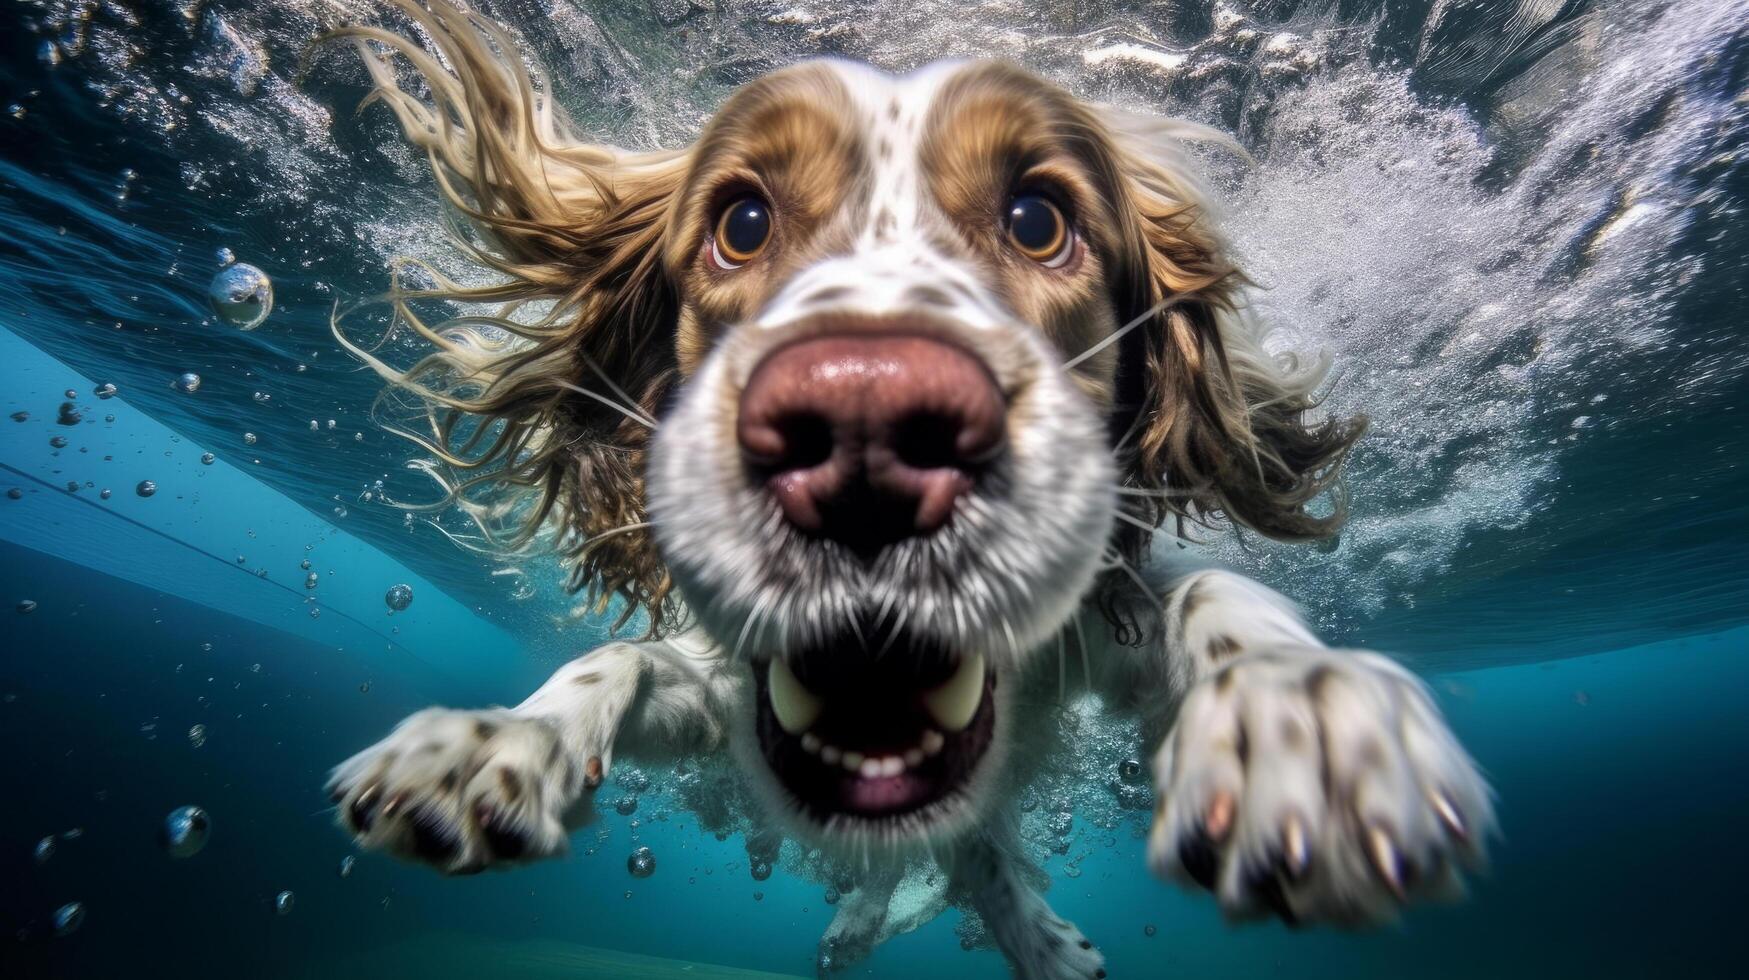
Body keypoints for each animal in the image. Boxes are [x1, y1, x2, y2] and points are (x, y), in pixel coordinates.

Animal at [325, 5, 1490, 973]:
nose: (866, 431)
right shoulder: (720, 693)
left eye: (1036, 218)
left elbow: (1217, 597)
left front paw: (1303, 720)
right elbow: (613, 660)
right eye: (742, 223)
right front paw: (495, 745)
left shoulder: (1102, 634)